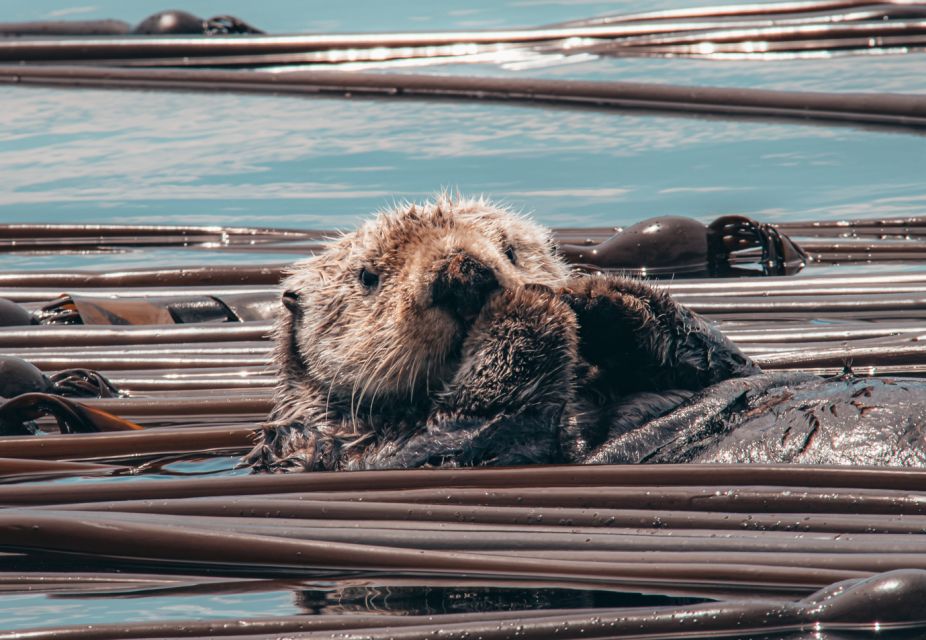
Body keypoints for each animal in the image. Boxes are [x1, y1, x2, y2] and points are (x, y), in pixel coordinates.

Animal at [245, 195, 926, 470]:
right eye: (369, 276)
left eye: (509, 247)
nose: (465, 273)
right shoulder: (353, 452)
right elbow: (475, 428)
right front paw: (526, 309)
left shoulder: (713, 366)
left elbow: (721, 360)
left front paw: (592, 295)